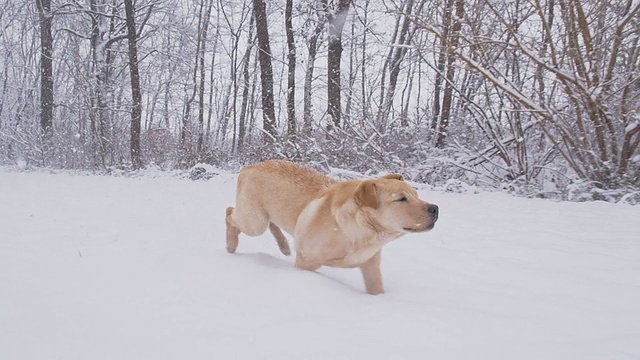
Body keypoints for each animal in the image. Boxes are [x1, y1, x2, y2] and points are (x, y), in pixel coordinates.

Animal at [222, 161, 438, 296]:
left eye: (416, 195)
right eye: (401, 199)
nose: (435, 208)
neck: (361, 232)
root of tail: (250, 166)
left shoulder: (371, 267)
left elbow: (376, 289)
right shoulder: (306, 261)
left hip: (265, 217)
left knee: (272, 224)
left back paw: (284, 246)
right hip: (254, 221)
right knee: (229, 213)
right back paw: (231, 245)